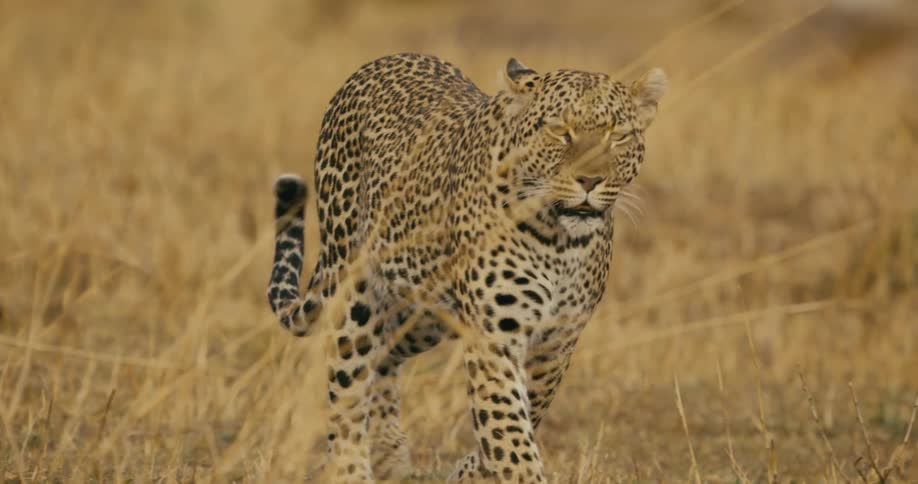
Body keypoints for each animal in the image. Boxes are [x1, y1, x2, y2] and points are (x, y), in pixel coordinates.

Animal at [266, 53, 666, 483]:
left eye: (618, 135)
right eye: (560, 131)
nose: (590, 180)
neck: (560, 242)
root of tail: (378, 63)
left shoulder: (557, 342)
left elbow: (520, 416)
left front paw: (471, 470)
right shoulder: (494, 336)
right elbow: (509, 431)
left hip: (422, 313)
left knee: (384, 357)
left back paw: (391, 453)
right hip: (354, 289)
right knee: (349, 386)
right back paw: (352, 468)